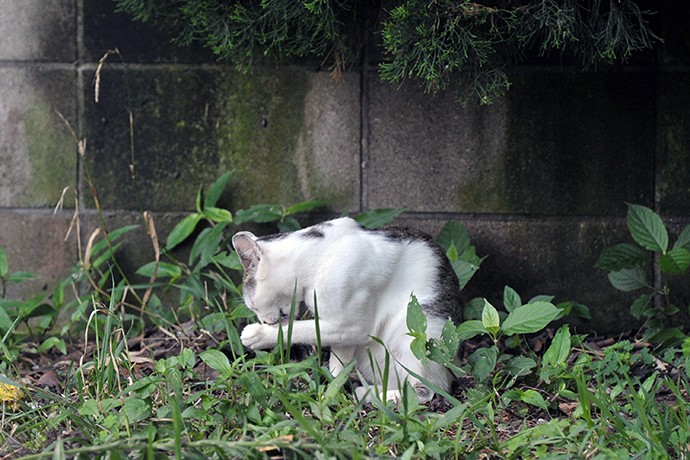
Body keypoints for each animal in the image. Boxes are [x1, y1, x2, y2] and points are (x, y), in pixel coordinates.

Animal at [231, 217, 462, 402]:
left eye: (252, 305)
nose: (262, 321)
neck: (317, 257)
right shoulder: (344, 333)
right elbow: (338, 359)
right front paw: (334, 383)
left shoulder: (353, 326)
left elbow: (299, 329)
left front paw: (258, 335)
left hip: (419, 340)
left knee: (424, 391)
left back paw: (367, 393)